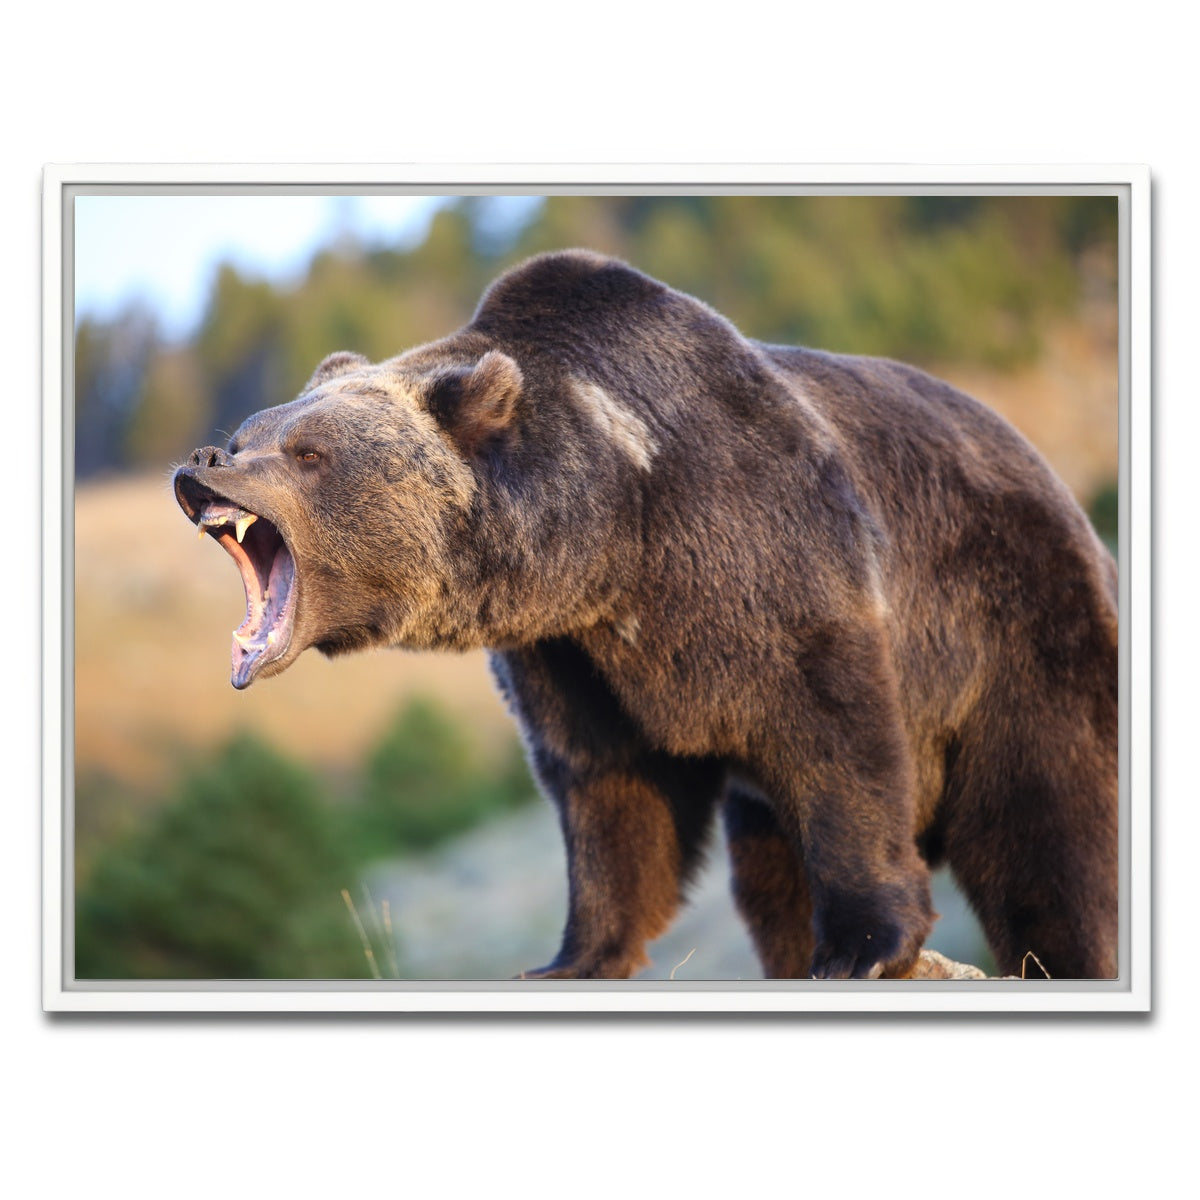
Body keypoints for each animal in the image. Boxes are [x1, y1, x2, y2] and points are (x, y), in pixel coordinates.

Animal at [173, 249, 1119, 981]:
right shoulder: (572, 654)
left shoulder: (769, 555)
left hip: (1021, 632)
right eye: (252, 430)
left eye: (307, 452)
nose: (203, 461)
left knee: (1049, 835)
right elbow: (608, 790)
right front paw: (571, 956)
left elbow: (839, 738)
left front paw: (863, 945)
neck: (614, 536)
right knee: (769, 875)